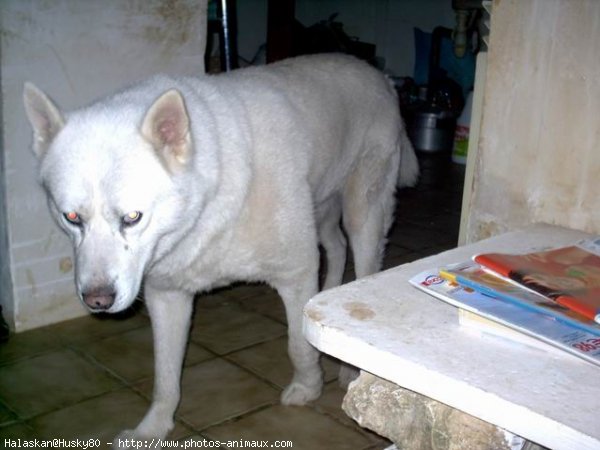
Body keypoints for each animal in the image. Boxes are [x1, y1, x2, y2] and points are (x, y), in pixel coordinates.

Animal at [22, 53, 418, 442]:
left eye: (132, 217)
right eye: (71, 217)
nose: (98, 301)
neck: (209, 200)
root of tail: (377, 73)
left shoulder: (295, 271)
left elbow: (298, 345)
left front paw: (307, 390)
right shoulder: (167, 296)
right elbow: (165, 377)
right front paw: (152, 429)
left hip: (362, 215)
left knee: (362, 262)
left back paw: (350, 369)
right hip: (321, 211)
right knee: (335, 249)